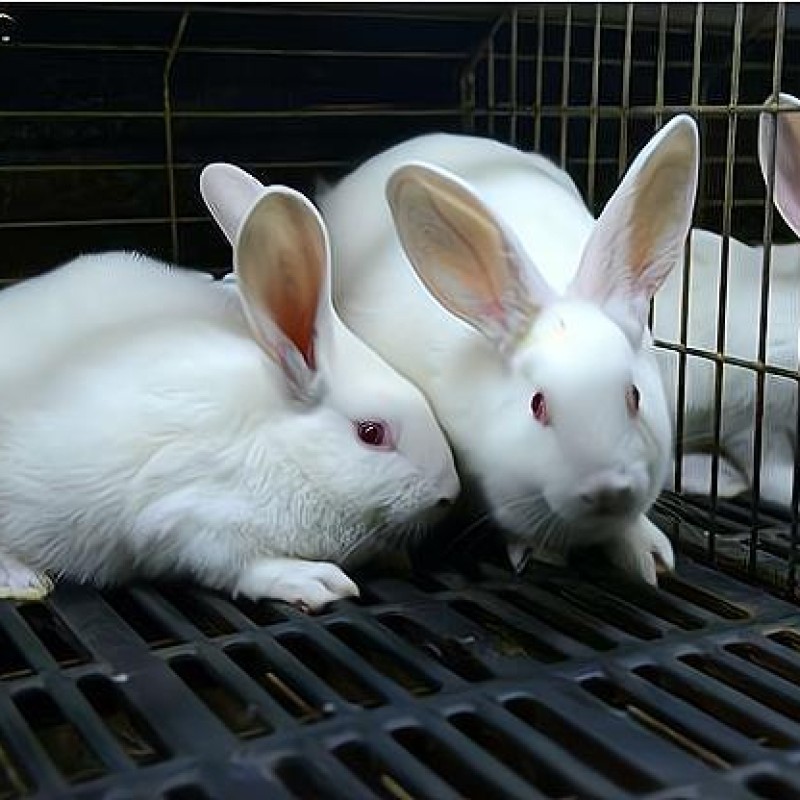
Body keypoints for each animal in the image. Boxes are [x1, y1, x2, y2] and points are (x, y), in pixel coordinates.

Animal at [0, 167, 459, 609]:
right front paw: (313, 581)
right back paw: (24, 580)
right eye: (371, 433)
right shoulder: (189, 519)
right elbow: (240, 566)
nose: (449, 494)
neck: (283, 449)